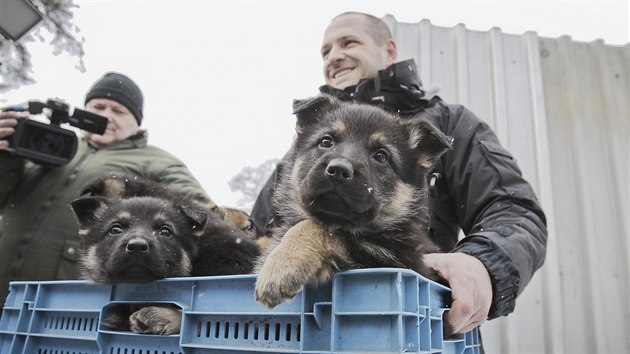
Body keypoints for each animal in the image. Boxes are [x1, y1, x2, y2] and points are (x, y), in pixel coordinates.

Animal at [256, 95, 454, 308]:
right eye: (326, 141)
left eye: (381, 156)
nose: (339, 170)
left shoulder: (386, 260)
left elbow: (317, 228)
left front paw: (281, 266)